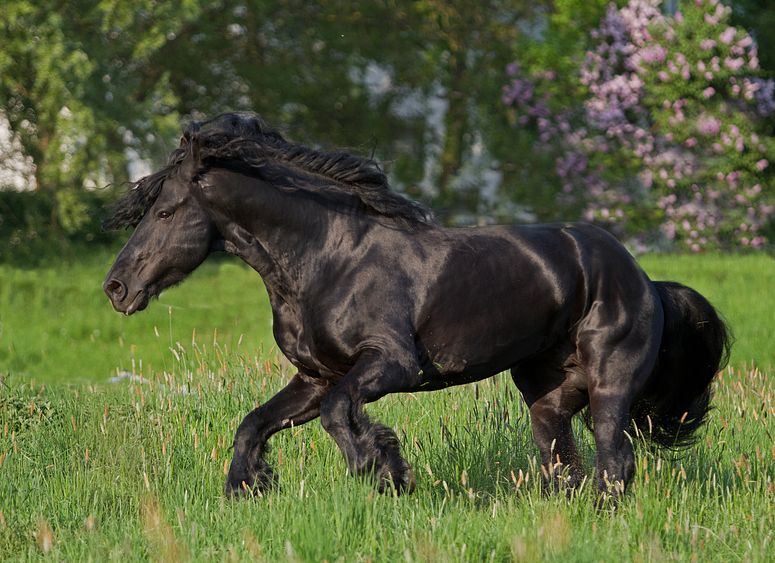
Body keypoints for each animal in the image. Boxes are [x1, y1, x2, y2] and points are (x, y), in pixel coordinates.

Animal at [104, 112, 732, 504]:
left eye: (165, 211)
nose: (116, 287)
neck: (328, 257)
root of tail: (644, 279)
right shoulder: (314, 375)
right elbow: (253, 424)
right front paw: (248, 486)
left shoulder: (391, 364)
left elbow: (338, 413)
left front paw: (385, 470)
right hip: (546, 397)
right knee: (566, 469)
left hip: (609, 386)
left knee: (614, 463)